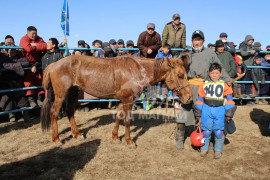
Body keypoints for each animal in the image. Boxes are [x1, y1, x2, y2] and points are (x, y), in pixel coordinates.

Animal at [40, 55, 192, 147]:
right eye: (180, 75)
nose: (189, 97)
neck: (137, 70)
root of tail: (54, 64)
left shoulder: (122, 100)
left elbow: (118, 117)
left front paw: (115, 137)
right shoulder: (128, 100)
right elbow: (127, 120)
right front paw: (129, 141)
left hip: (73, 93)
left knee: (70, 112)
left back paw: (77, 135)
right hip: (61, 94)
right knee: (54, 112)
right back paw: (56, 139)